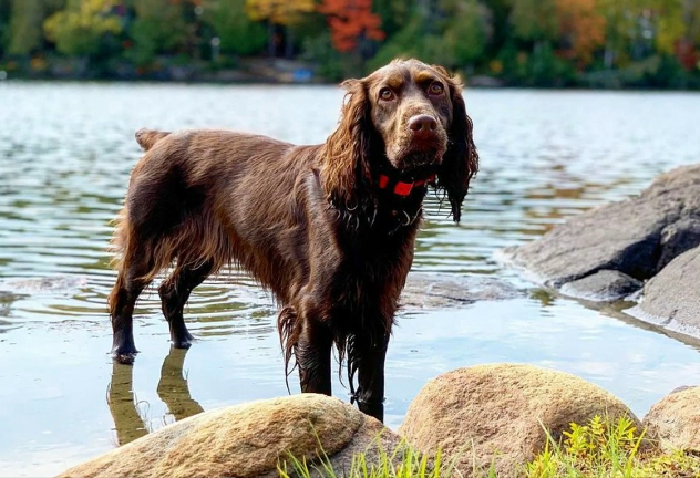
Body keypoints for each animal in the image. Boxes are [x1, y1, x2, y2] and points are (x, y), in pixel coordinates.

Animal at [109, 58, 478, 420]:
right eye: (386, 94)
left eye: (436, 88)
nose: (423, 124)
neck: (373, 203)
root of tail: (161, 138)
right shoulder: (312, 311)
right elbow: (319, 390)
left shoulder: (377, 309)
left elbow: (372, 390)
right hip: (146, 240)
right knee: (123, 294)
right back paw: (124, 349)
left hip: (204, 254)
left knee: (171, 291)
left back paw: (184, 339)